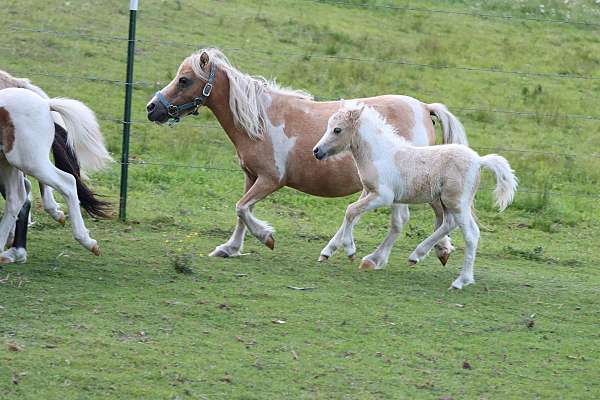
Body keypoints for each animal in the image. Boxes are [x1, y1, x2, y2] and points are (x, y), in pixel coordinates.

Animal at [0, 87, 112, 258]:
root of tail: (46, 104)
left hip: (29, 162)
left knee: (68, 182)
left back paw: (86, 241)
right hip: (9, 164)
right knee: (16, 198)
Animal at [146, 47, 468, 268]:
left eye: (184, 80)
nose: (152, 108)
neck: (261, 119)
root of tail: (424, 107)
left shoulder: (270, 179)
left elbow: (242, 208)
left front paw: (266, 237)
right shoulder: (250, 176)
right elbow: (240, 212)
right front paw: (229, 248)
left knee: (403, 220)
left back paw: (375, 258)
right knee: (437, 216)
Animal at [312, 103, 516, 290]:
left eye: (337, 129)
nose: (316, 151)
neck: (380, 155)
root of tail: (479, 161)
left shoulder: (383, 196)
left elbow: (351, 210)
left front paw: (350, 251)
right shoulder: (371, 193)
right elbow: (355, 214)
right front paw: (341, 251)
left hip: (457, 203)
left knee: (471, 234)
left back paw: (460, 281)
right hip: (448, 202)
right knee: (449, 223)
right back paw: (417, 255)